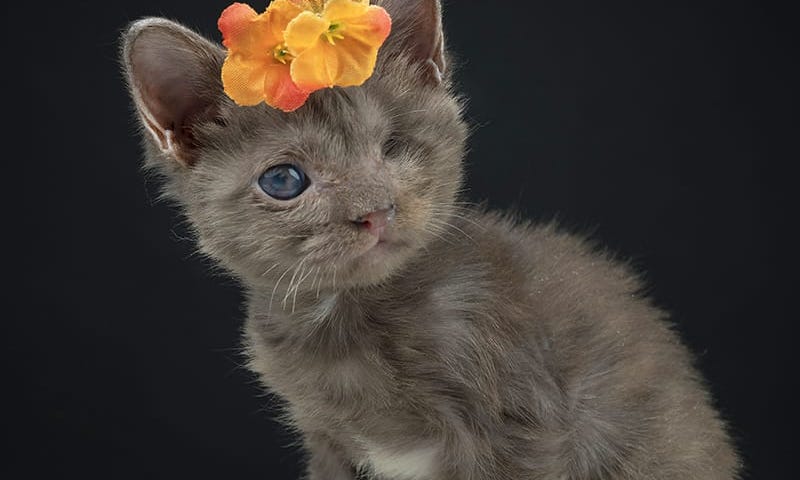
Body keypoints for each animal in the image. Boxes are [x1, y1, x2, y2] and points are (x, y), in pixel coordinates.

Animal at [120, 1, 744, 478]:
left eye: (394, 146)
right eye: (284, 181)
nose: (375, 211)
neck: (348, 324)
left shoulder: (523, 428)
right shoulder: (328, 440)